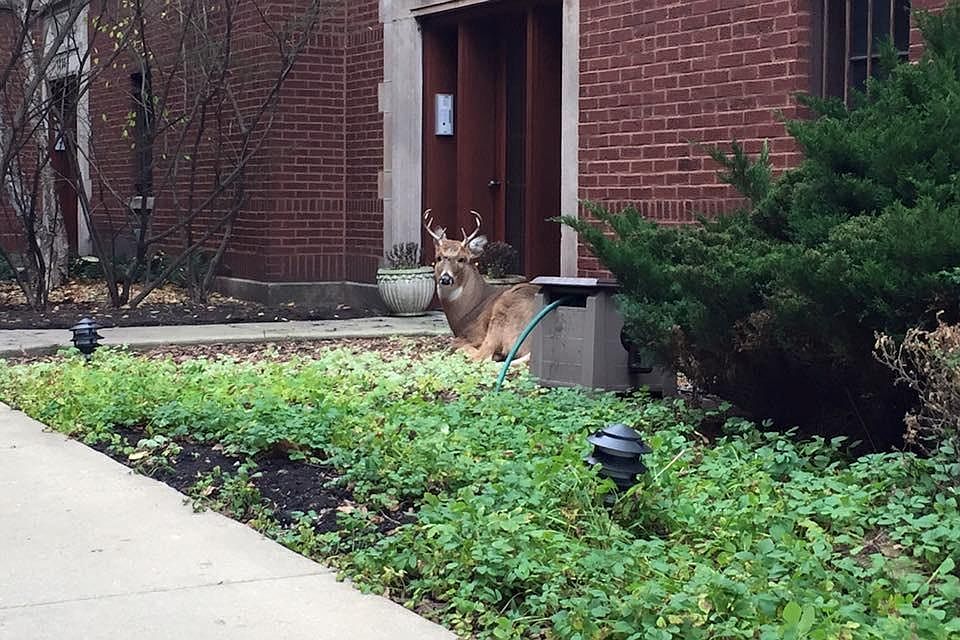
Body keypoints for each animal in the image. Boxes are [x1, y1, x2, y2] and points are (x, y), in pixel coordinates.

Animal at [424, 209, 540, 362]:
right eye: (438, 257)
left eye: (462, 259)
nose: (446, 278)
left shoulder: (476, 333)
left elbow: (456, 343)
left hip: (503, 314)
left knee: (483, 355)